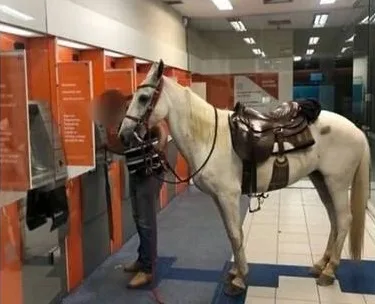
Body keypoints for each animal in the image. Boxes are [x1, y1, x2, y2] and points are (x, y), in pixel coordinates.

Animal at [119, 60, 372, 296]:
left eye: (143, 98)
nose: (123, 135)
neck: (208, 136)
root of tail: (357, 131)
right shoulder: (218, 198)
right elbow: (231, 234)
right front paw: (235, 272)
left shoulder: (228, 196)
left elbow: (234, 233)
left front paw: (240, 279)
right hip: (321, 181)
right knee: (334, 220)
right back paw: (321, 264)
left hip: (337, 183)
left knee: (344, 219)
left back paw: (329, 271)